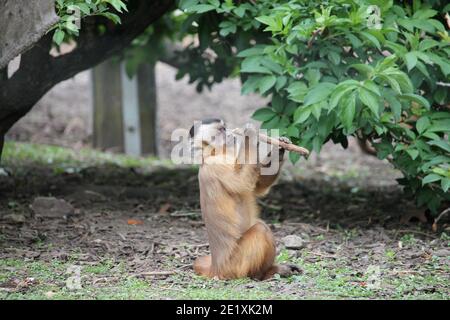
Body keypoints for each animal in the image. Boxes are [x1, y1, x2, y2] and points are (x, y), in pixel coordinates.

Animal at [189, 118, 298, 280]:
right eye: (222, 130)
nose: (230, 133)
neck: (215, 153)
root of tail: (215, 266)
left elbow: (257, 186)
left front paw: (279, 149)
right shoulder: (215, 165)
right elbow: (242, 183)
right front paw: (250, 135)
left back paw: (272, 270)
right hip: (233, 265)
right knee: (261, 229)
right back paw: (260, 275)